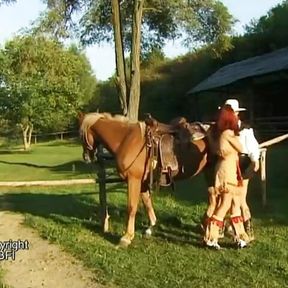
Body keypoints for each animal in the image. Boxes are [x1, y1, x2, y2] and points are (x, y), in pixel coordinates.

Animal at [79, 111, 209, 246]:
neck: (126, 139)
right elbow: (147, 202)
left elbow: (132, 207)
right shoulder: (142, 182)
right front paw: (150, 227)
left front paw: (127, 237)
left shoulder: (133, 180)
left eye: (81, 134)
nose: (86, 157)